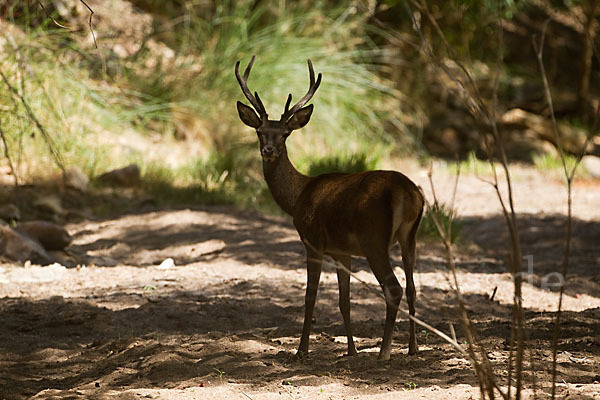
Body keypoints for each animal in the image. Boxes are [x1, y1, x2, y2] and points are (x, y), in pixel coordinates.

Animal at [232, 55, 424, 360]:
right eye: (260, 132)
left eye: (285, 133)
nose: (268, 150)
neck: (298, 196)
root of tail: (407, 192)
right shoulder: (342, 251)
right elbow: (344, 301)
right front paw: (351, 351)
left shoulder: (312, 240)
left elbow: (310, 297)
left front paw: (302, 350)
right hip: (410, 236)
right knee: (412, 287)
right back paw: (413, 348)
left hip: (374, 238)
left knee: (393, 288)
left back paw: (384, 351)